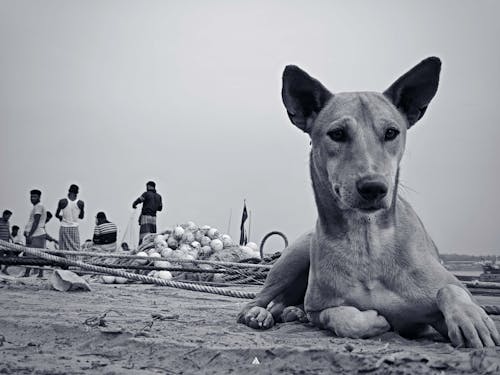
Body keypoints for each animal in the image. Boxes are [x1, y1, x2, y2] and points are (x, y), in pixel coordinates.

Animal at [238, 56, 500, 350]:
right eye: (337, 133)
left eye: (391, 132)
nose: (373, 187)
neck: (367, 242)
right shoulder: (320, 308)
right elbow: (344, 317)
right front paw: (374, 320)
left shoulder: (436, 305)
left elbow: (450, 289)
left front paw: (472, 319)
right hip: (294, 257)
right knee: (261, 301)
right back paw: (260, 313)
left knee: (283, 304)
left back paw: (290, 312)